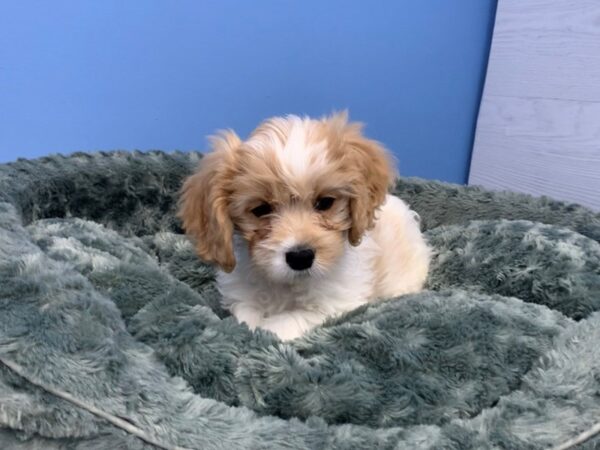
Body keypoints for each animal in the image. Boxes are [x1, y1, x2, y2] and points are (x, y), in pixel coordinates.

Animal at [178, 112, 432, 342]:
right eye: (261, 209)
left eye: (325, 203)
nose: (300, 257)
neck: (288, 285)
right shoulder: (243, 297)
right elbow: (245, 318)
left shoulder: (336, 304)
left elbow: (285, 321)